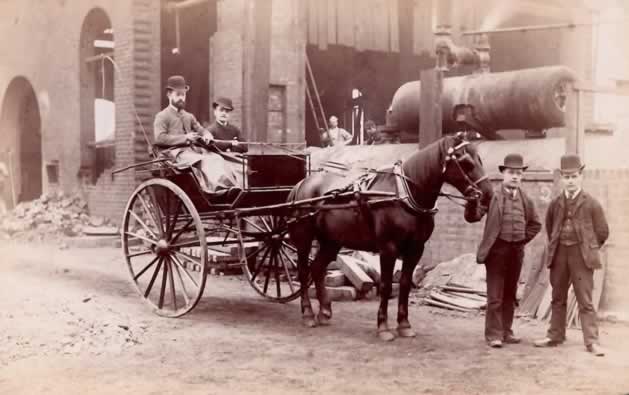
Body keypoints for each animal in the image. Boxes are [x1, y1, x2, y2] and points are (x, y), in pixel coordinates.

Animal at [288, 132, 494, 340]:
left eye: (480, 159)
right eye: (466, 162)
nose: (488, 195)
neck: (404, 195)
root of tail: (302, 184)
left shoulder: (416, 249)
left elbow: (404, 284)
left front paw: (404, 324)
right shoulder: (388, 248)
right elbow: (386, 285)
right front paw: (383, 327)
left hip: (332, 241)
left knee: (317, 269)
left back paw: (324, 311)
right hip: (304, 239)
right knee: (304, 272)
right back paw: (308, 314)